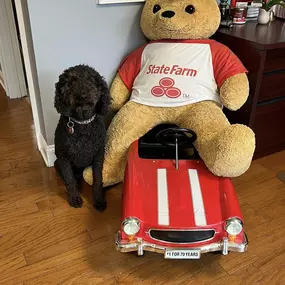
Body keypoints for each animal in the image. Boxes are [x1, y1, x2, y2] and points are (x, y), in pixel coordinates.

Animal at [52, 65, 110, 211]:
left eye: (92, 80)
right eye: (72, 82)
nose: (83, 95)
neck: (82, 123)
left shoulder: (98, 156)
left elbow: (97, 179)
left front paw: (99, 200)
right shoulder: (63, 157)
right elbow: (69, 179)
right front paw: (74, 198)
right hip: (57, 163)